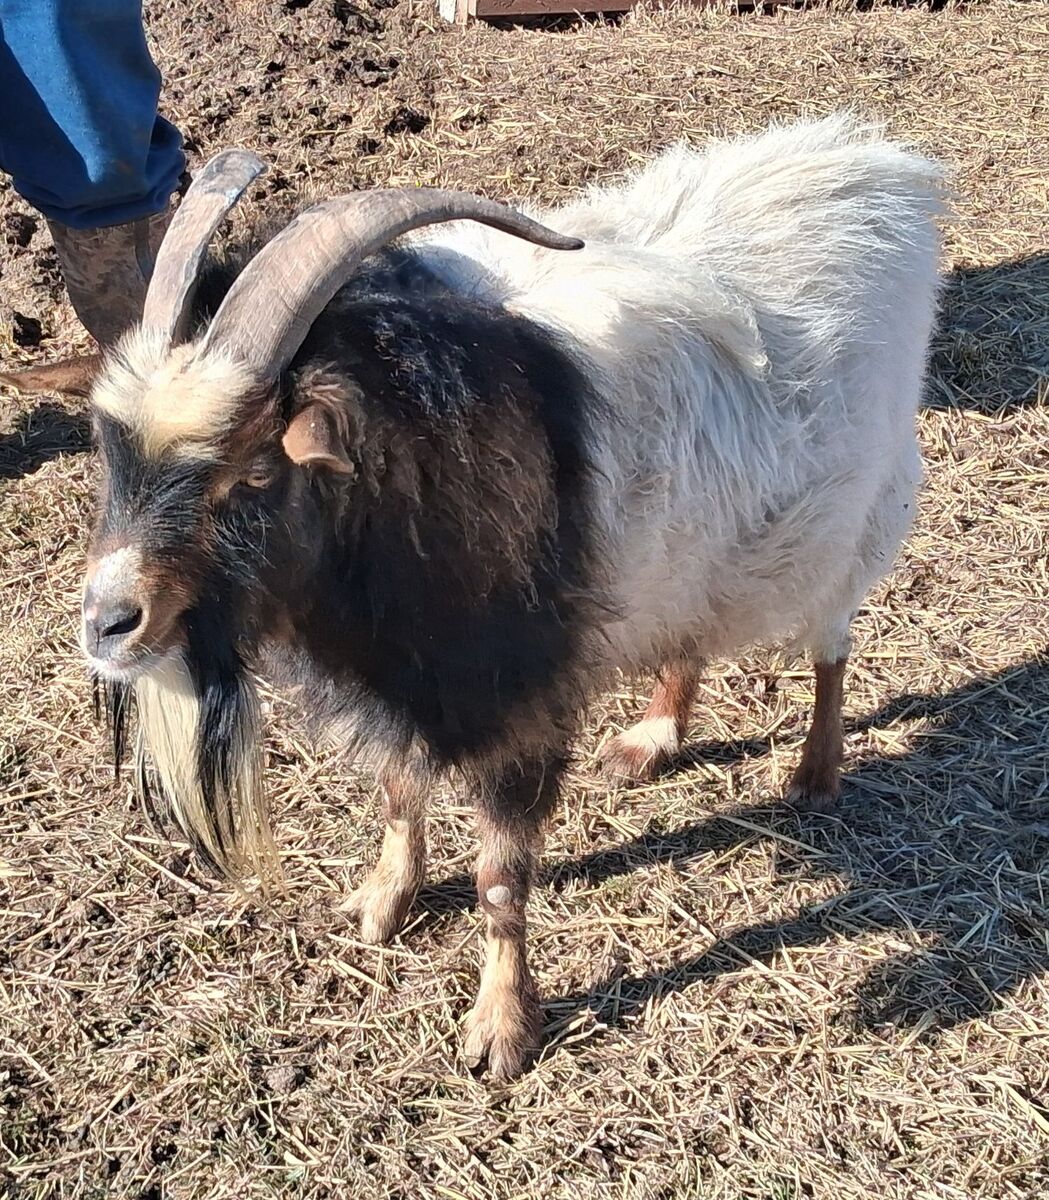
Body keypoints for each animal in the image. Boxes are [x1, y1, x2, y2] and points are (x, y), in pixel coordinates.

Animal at [1, 115, 943, 1078]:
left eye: (255, 470)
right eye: (109, 453)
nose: (108, 625)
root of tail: (877, 163)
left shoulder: (519, 697)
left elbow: (499, 878)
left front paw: (499, 1029)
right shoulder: (407, 677)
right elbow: (396, 791)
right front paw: (381, 902)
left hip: (864, 510)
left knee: (832, 645)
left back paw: (814, 771)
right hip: (700, 547)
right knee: (691, 632)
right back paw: (651, 737)